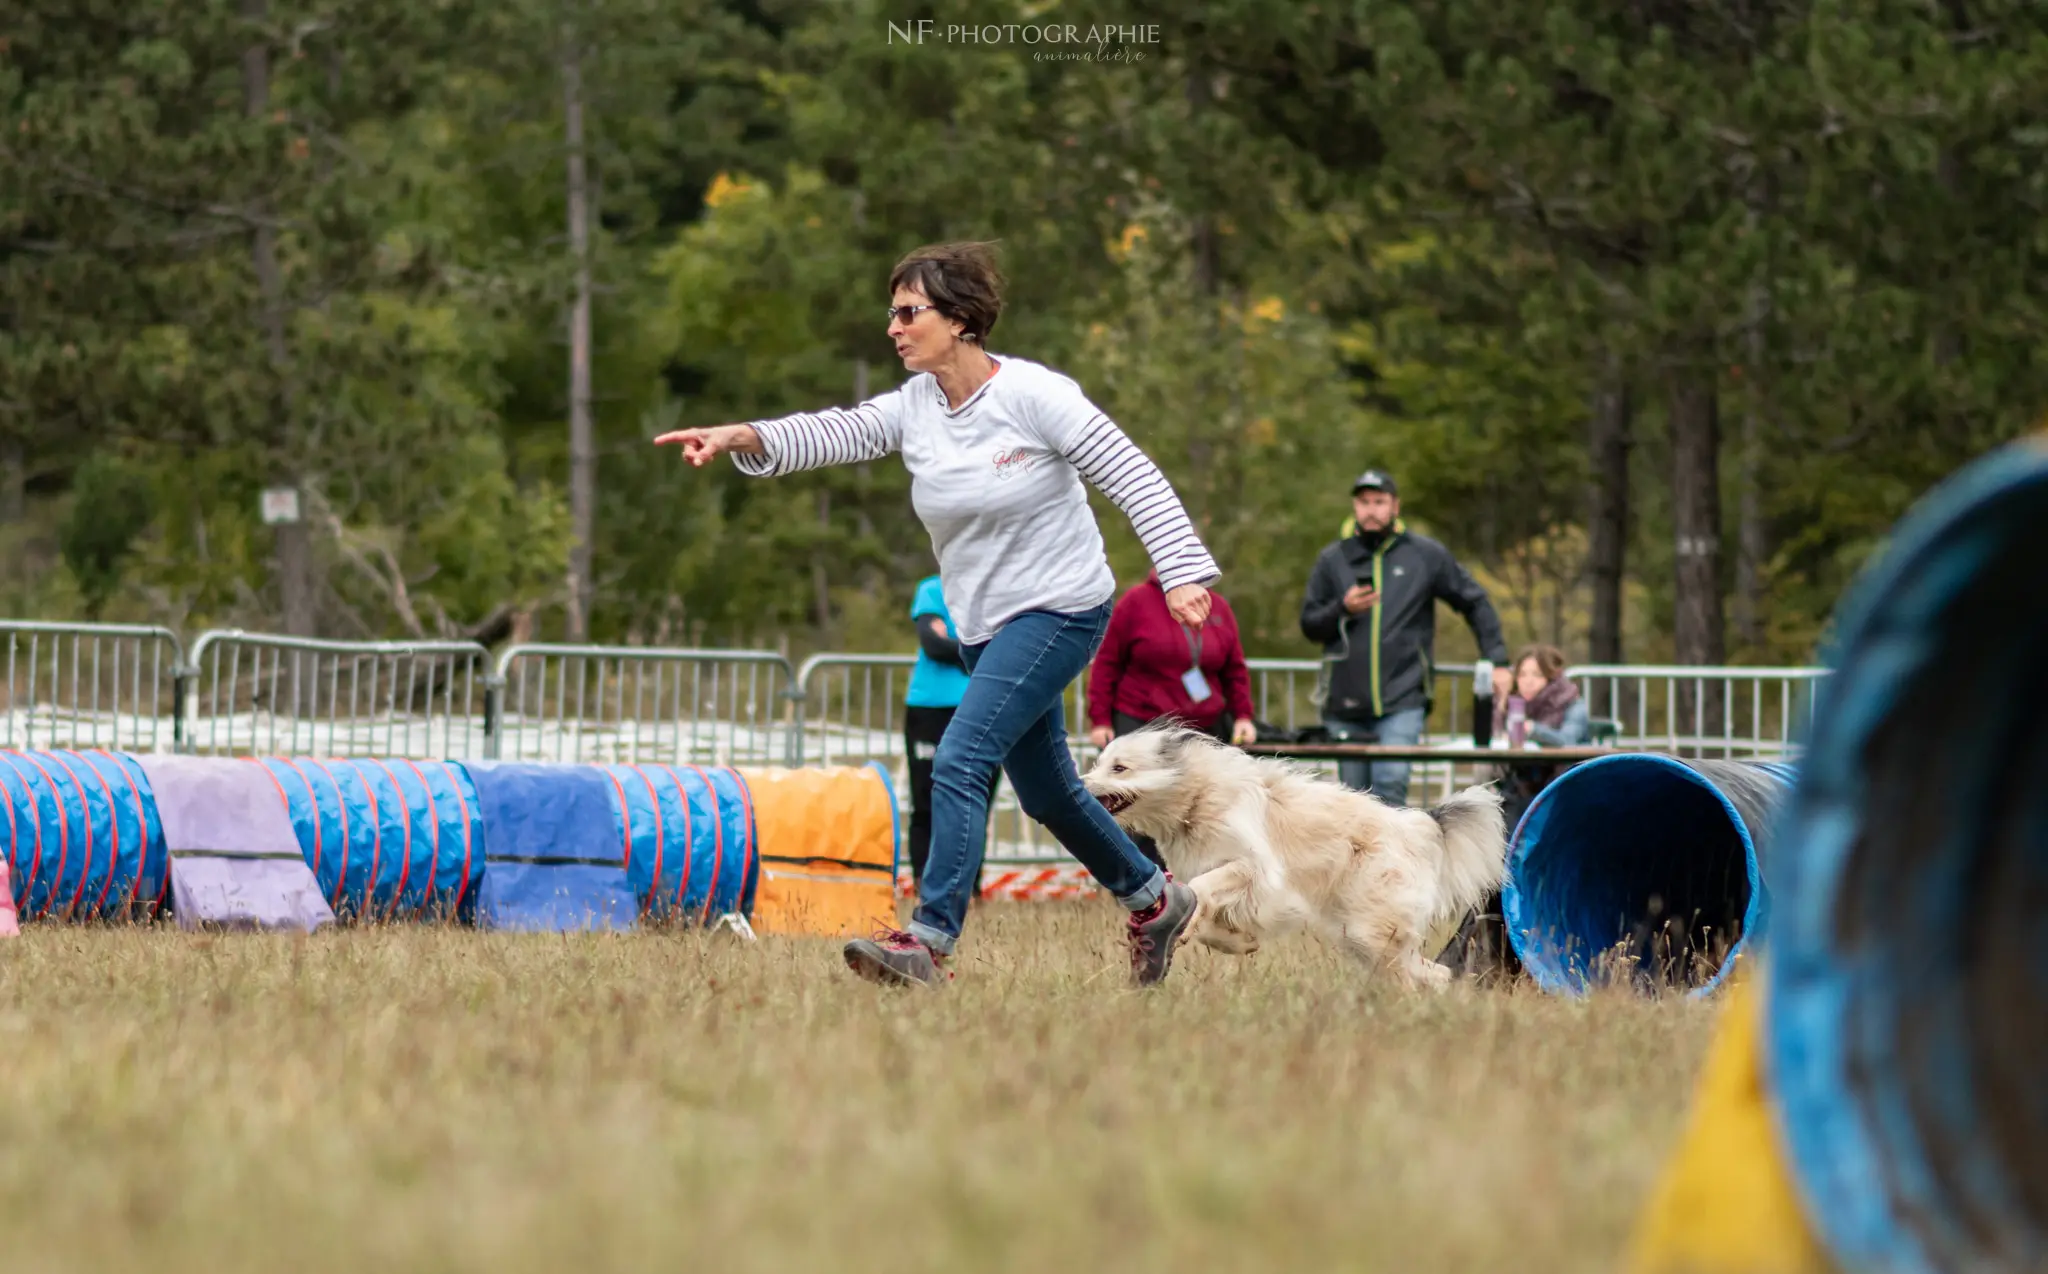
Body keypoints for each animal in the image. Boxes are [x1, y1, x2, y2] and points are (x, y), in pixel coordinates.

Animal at [1089, 729, 1507, 987]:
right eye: (1099, 762)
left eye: (1120, 767)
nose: (1084, 784)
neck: (1196, 797)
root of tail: (1420, 826)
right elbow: (1208, 914)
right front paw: (1235, 941)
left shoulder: (1257, 870)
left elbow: (1203, 887)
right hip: (1363, 934)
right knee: (1431, 974)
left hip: (1370, 927)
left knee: (1411, 974)